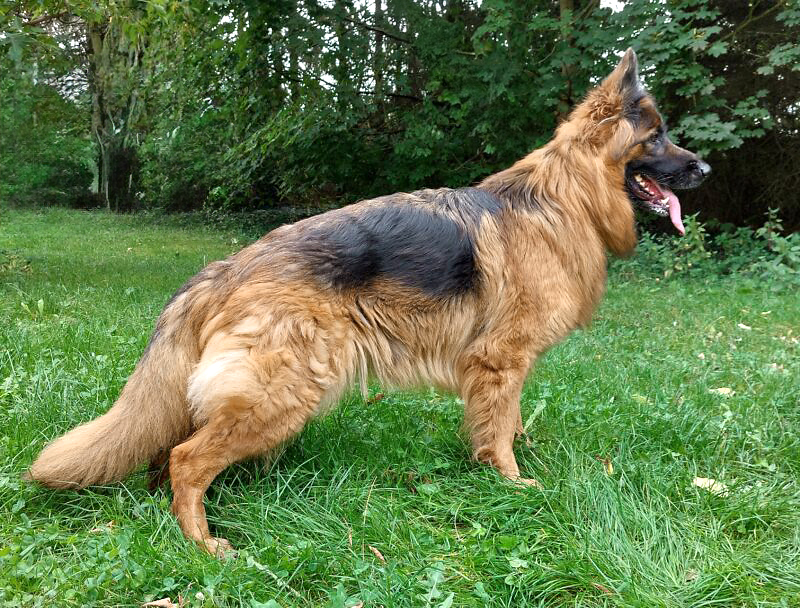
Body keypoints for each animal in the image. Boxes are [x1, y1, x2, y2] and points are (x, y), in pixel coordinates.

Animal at [27, 49, 710, 556]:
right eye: (657, 138)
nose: (704, 169)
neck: (564, 197)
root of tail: (225, 269)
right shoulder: (500, 360)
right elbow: (498, 431)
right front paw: (512, 481)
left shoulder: (506, 367)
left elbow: (507, 420)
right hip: (284, 393)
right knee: (186, 458)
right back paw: (202, 542)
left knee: (169, 450)